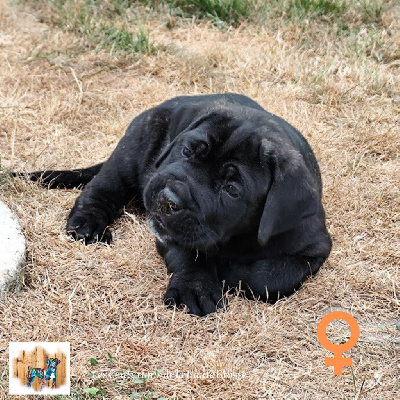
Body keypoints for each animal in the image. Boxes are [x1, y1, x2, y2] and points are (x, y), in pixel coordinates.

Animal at [18, 93, 332, 316]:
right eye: (187, 151)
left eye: (231, 189)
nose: (168, 200)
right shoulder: (171, 233)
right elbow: (188, 256)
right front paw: (195, 286)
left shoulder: (315, 249)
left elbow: (269, 278)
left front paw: (227, 270)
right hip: (132, 151)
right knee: (103, 187)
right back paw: (87, 224)